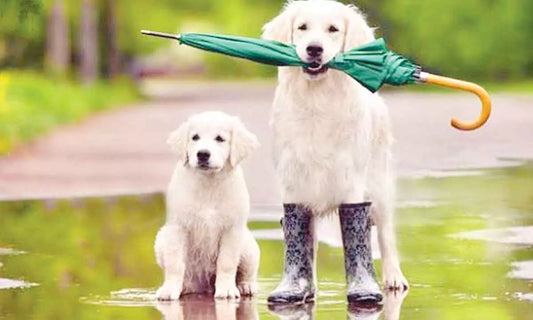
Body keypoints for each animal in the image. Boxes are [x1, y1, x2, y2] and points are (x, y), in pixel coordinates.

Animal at [153, 110, 260, 300]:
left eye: (220, 139)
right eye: (195, 137)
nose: (202, 154)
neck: (208, 183)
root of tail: (203, 288)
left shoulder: (232, 229)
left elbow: (227, 262)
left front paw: (226, 290)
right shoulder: (177, 227)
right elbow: (174, 263)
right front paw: (169, 290)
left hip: (249, 247)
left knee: (247, 272)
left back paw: (245, 286)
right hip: (161, 240)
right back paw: (184, 287)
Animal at [262, 0, 408, 302]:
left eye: (333, 29)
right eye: (302, 27)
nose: (314, 49)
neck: (317, 100)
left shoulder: (350, 180)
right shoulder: (293, 180)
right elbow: (301, 237)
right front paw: (298, 286)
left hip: (380, 184)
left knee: (385, 234)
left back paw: (394, 278)